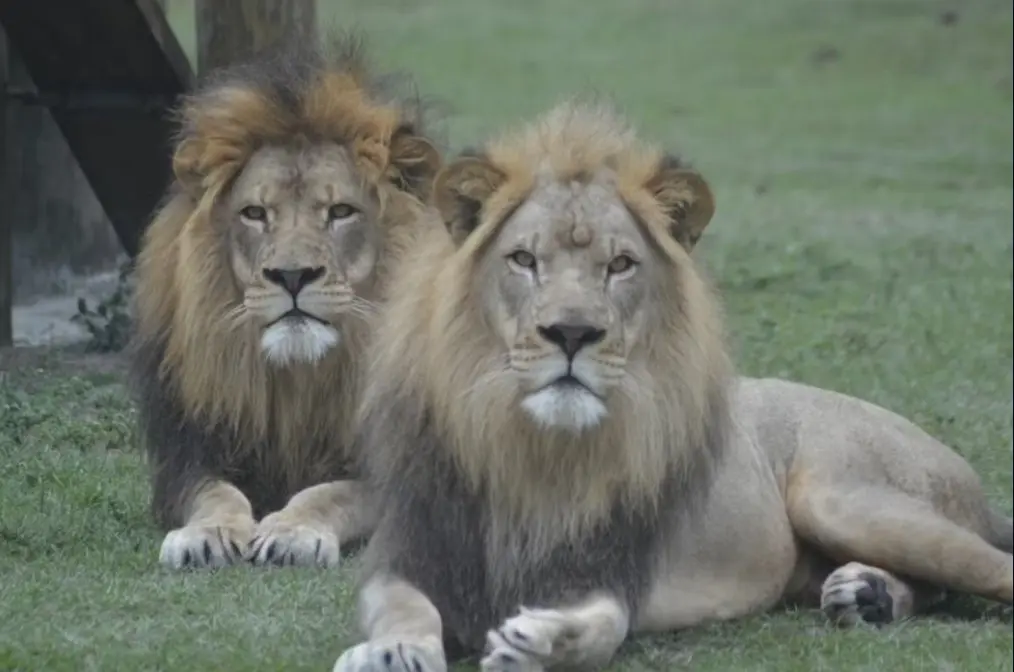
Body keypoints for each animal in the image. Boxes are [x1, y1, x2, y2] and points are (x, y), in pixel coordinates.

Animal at [129, 35, 442, 571]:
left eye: (341, 212)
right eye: (255, 213)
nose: (292, 276)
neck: (301, 380)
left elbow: (333, 492)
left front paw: (294, 532)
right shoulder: (189, 455)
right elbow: (214, 493)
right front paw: (206, 534)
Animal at [330, 101, 1013, 672]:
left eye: (620, 265)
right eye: (523, 259)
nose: (572, 332)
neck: (530, 447)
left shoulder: (610, 573)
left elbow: (602, 626)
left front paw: (543, 641)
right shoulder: (410, 551)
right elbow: (402, 606)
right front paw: (395, 649)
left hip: (841, 499)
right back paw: (866, 594)